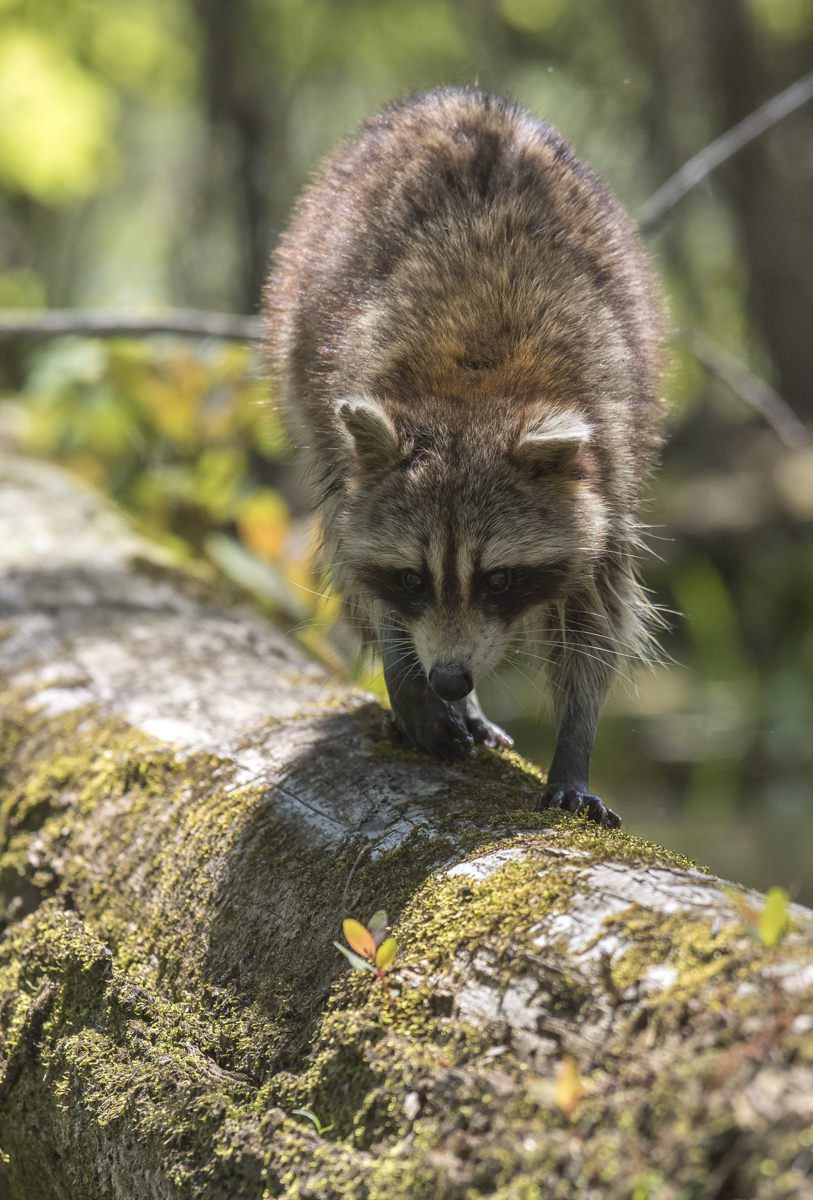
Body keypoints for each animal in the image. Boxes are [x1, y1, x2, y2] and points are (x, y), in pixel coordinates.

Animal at [264, 88, 665, 829]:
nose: (451, 679)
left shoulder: (610, 464)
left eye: (499, 579)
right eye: (413, 578)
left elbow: (596, 618)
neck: (474, 393)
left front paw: (574, 742)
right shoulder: (346, 440)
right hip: (297, 323)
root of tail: (462, 98)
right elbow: (357, 569)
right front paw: (408, 677)